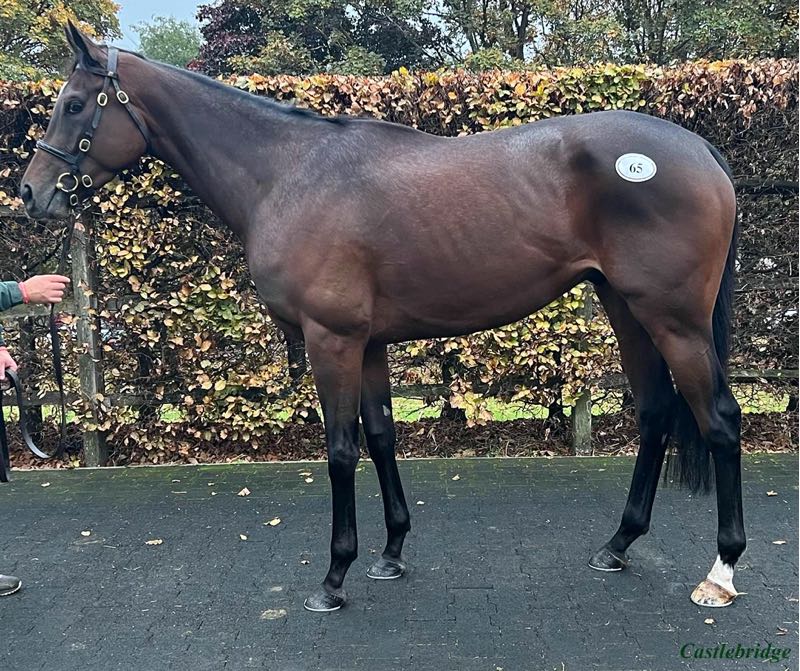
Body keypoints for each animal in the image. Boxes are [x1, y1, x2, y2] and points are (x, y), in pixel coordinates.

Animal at [20, 22, 743, 612]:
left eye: (75, 104)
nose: (31, 194)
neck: (288, 174)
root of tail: (701, 150)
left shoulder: (331, 340)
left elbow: (341, 451)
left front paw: (334, 576)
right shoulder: (366, 344)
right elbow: (380, 436)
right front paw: (391, 552)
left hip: (673, 320)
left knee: (718, 418)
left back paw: (721, 571)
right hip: (627, 308)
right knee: (654, 413)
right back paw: (618, 543)